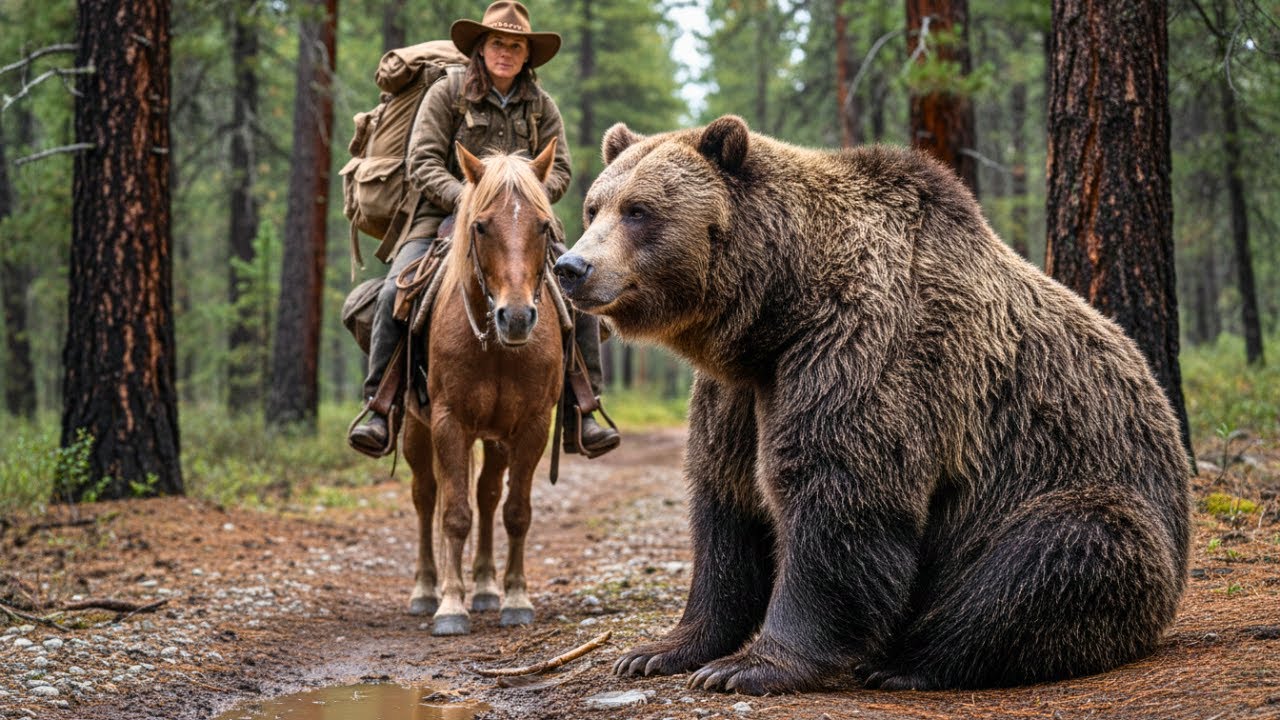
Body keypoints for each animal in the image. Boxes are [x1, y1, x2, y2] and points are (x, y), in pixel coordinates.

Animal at [403, 139, 565, 636]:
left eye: (544, 226)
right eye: (480, 226)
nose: (516, 317)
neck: (496, 347)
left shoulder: (533, 425)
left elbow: (516, 512)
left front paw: (515, 597)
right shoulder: (447, 422)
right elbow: (454, 515)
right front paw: (451, 606)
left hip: (496, 439)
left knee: (489, 496)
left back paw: (487, 588)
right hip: (414, 430)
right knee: (425, 497)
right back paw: (426, 589)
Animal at [552, 116, 1191, 694]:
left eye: (639, 210)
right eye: (594, 207)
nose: (571, 267)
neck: (778, 311)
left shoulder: (863, 352)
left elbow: (838, 498)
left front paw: (750, 666)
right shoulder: (737, 392)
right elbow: (727, 507)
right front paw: (659, 651)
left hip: (1084, 484)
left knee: (1058, 551)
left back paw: (908, 662)